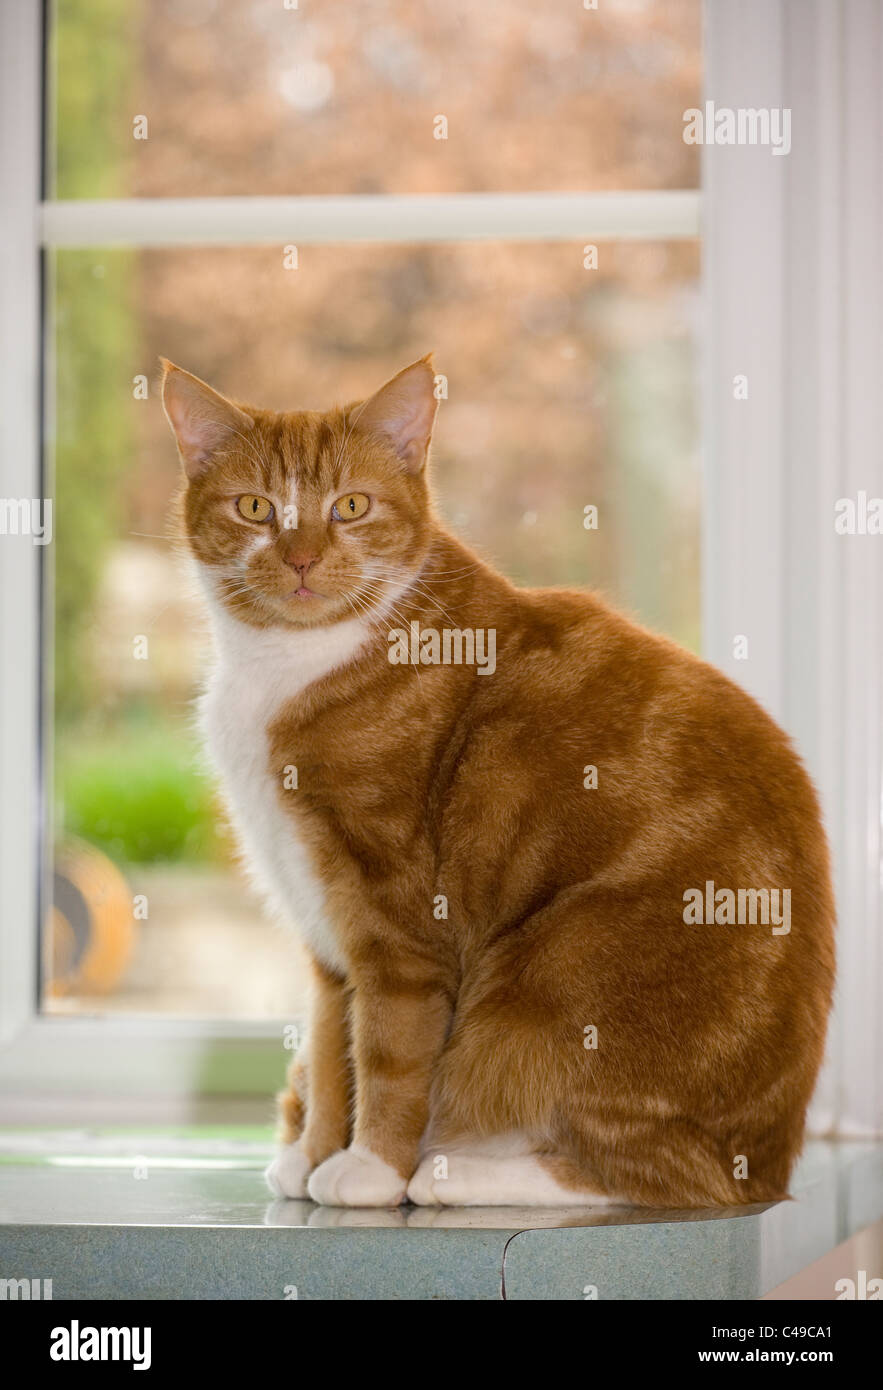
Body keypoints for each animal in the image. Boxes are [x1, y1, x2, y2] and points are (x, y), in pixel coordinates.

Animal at [164, 355, 834, 1206]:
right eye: (254, 508)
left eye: (350, 506)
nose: (302, 559)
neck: (287, 663)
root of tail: (773, 1159)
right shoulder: (323, 930)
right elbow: (328, 1048)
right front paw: (312, 1155)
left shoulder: (398, 924)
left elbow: (388, 1054)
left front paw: (369, 1168)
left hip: (555, 977)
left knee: (654, 1176)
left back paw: (453, 1172)